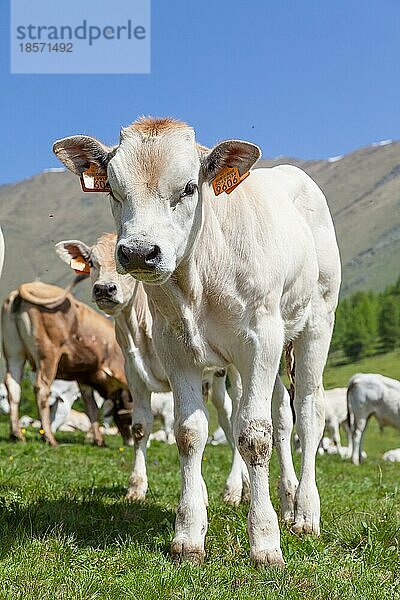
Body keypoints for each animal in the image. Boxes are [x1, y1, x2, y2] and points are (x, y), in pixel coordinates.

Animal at [1, 278, 129, 446]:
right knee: (41, 388)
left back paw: (17, 434)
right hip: (48, 355)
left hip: (14, 352)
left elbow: (92, 408)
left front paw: (98, 440)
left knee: (13, 386)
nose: (128, 441)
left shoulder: (84, 377)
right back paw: (49, 438)